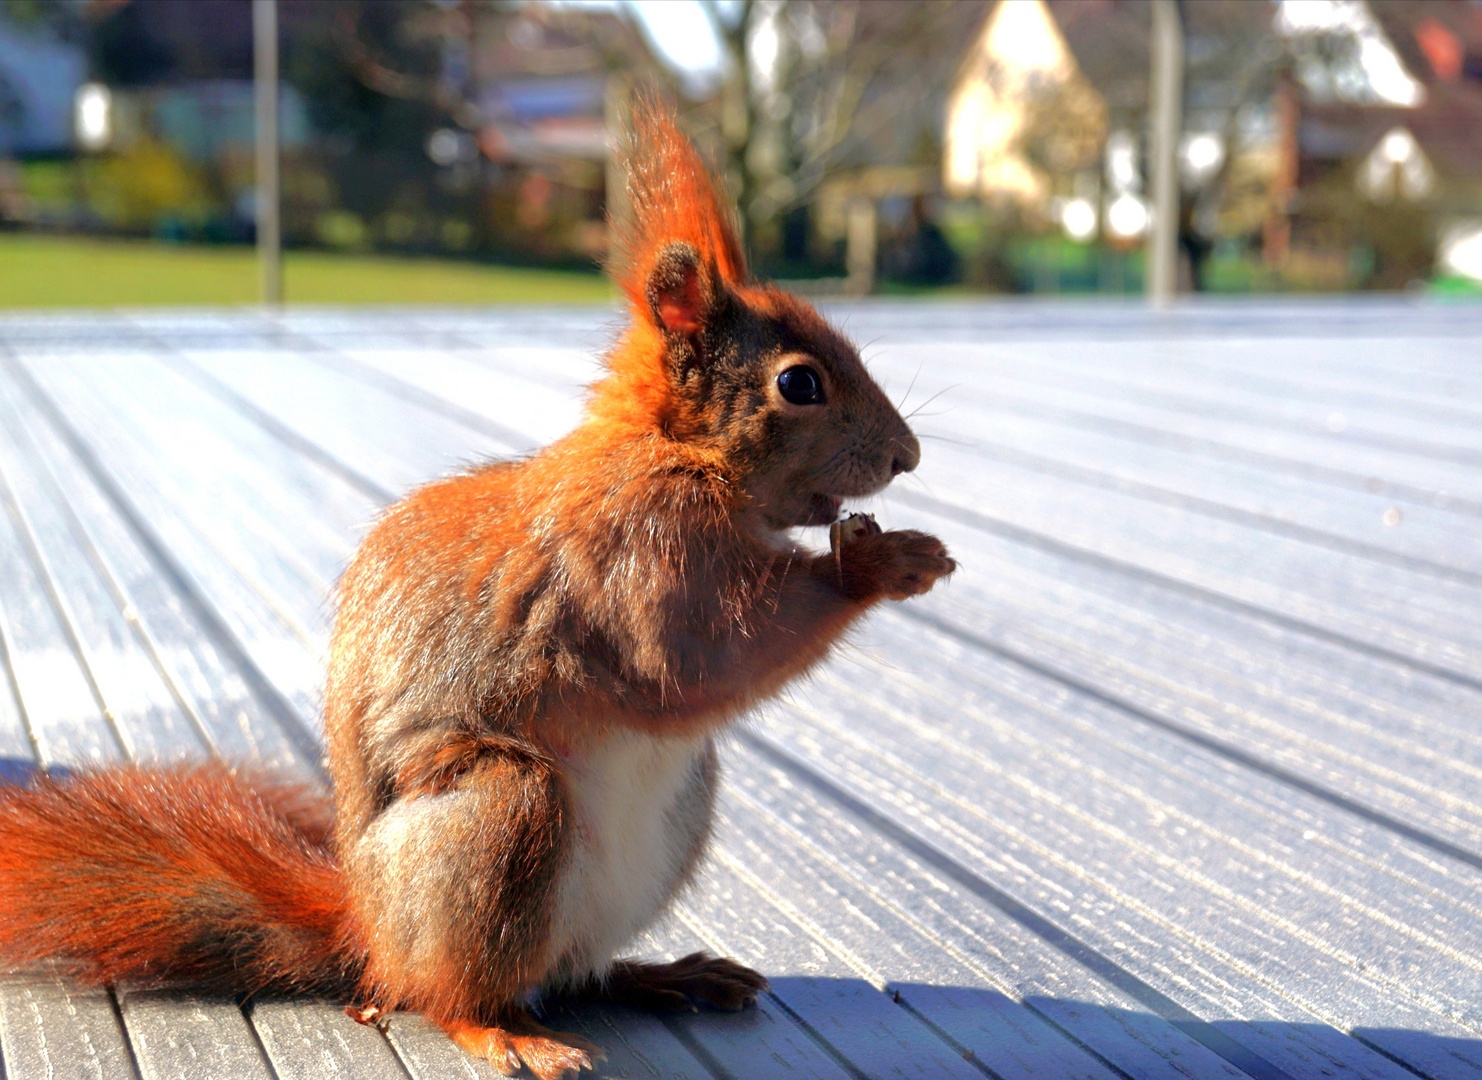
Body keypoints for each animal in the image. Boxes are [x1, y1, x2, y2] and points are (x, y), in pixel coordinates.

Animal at [0, 102, 954, 1078]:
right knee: (449, 994)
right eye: (799, 383)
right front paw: (881, 564)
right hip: (498, 815)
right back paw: (507, 1033)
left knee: (574, 974)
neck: (669, 450)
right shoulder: (642, 555)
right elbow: (696, 658)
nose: (907, 456)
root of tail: (369, 934)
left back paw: (663, 975)